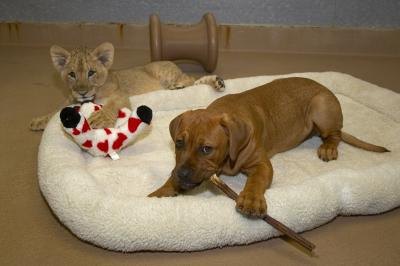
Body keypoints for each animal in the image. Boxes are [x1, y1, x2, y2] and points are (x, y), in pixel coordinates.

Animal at [148, 76, 388, 216]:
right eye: (179, 143)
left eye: (206, 149)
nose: (182, 174)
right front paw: (161, 191)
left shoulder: (262, 164)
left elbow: (256, 180)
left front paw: (252, 199)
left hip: (321, 107)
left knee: (334, 135)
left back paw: (328, 147)